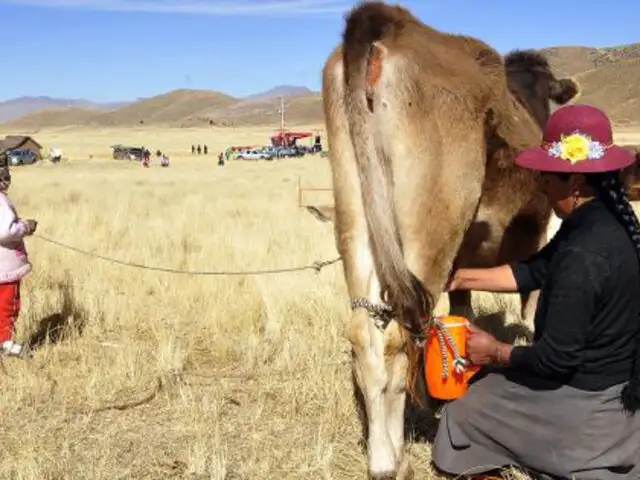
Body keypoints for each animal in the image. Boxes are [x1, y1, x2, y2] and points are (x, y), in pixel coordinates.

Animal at [320, 1, 580, 478]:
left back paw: (380, 457)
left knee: (365, 333)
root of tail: (389, 22)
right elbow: (533, 306)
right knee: (396, 338)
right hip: (429, 219)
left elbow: (464, 309)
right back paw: (392, 460)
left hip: (356, 209)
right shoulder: (540, 233)